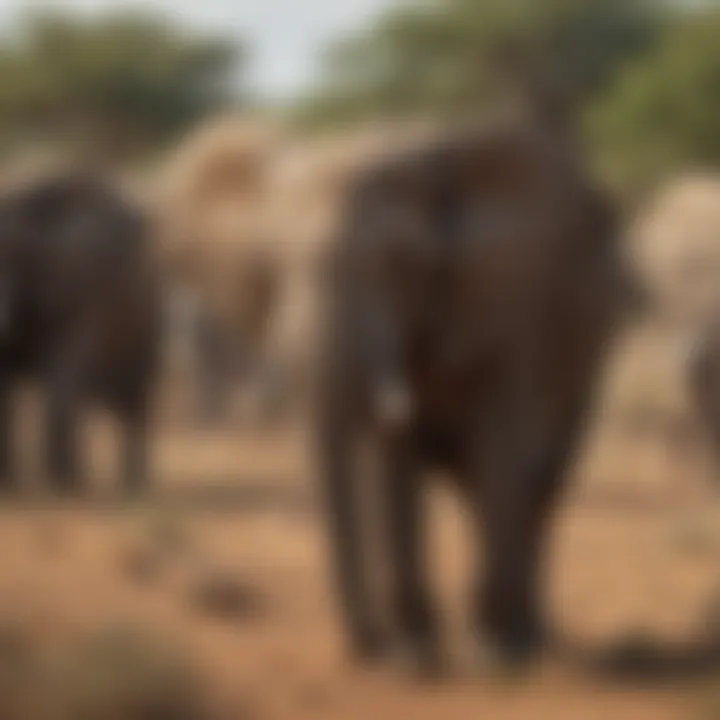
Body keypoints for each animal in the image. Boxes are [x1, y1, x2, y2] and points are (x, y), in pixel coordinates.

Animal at [0, 174, 160, 496]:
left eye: (15, 256)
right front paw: (10, 486)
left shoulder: (85, 290)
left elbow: (66, 367)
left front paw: (68, 486)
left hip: (145, 327)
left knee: (134, 396)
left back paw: (133, 486)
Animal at [316, 122, 640, 676]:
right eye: (319, 270)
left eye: (400, 266)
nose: (371, 649)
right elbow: (402, 461)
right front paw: (415, 660)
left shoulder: (515, 298)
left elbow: (501, 438)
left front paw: (491, 656)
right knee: (480, 484)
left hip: (592, 350)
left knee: (538, 480)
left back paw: (524, 640)